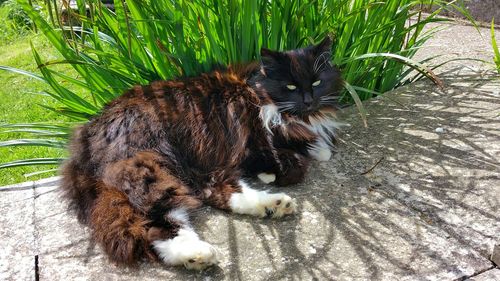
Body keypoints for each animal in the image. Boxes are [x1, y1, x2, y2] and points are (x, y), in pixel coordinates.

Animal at [57, 36, 340, 268]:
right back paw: (196, 255)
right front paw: (281, 168)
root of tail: (85, 140)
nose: (308, 100)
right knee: (159, 220)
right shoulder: (253, 142)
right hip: (150, 166)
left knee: (215, 192)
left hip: (187, 165)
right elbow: (291, 161)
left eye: (317, 82)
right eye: (290, 86)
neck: (257, 89)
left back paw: (273, 205)